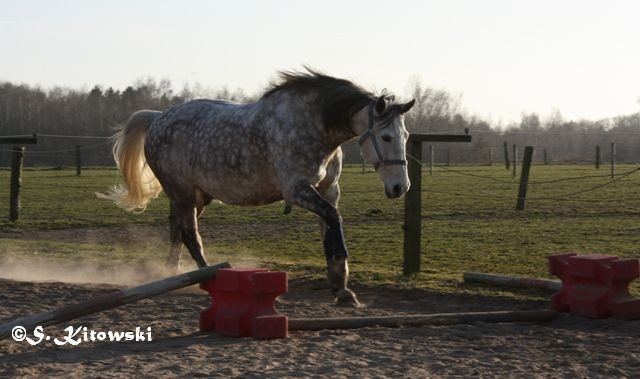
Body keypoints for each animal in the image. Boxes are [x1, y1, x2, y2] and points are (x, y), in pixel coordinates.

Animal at [101, 69, 416, 306]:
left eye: (405, 136)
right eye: (386, 137)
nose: (400, 187)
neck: (315, 126)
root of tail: (157, 118)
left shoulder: (328, 191)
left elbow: (329, 226)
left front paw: (341, 287)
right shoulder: (297, 191)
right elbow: (333, 219)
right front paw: (341, 270)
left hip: (197, 197)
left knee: (179, 231)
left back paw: (172, 273)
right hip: (182, 193)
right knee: (190, 234)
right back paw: (206, 277)